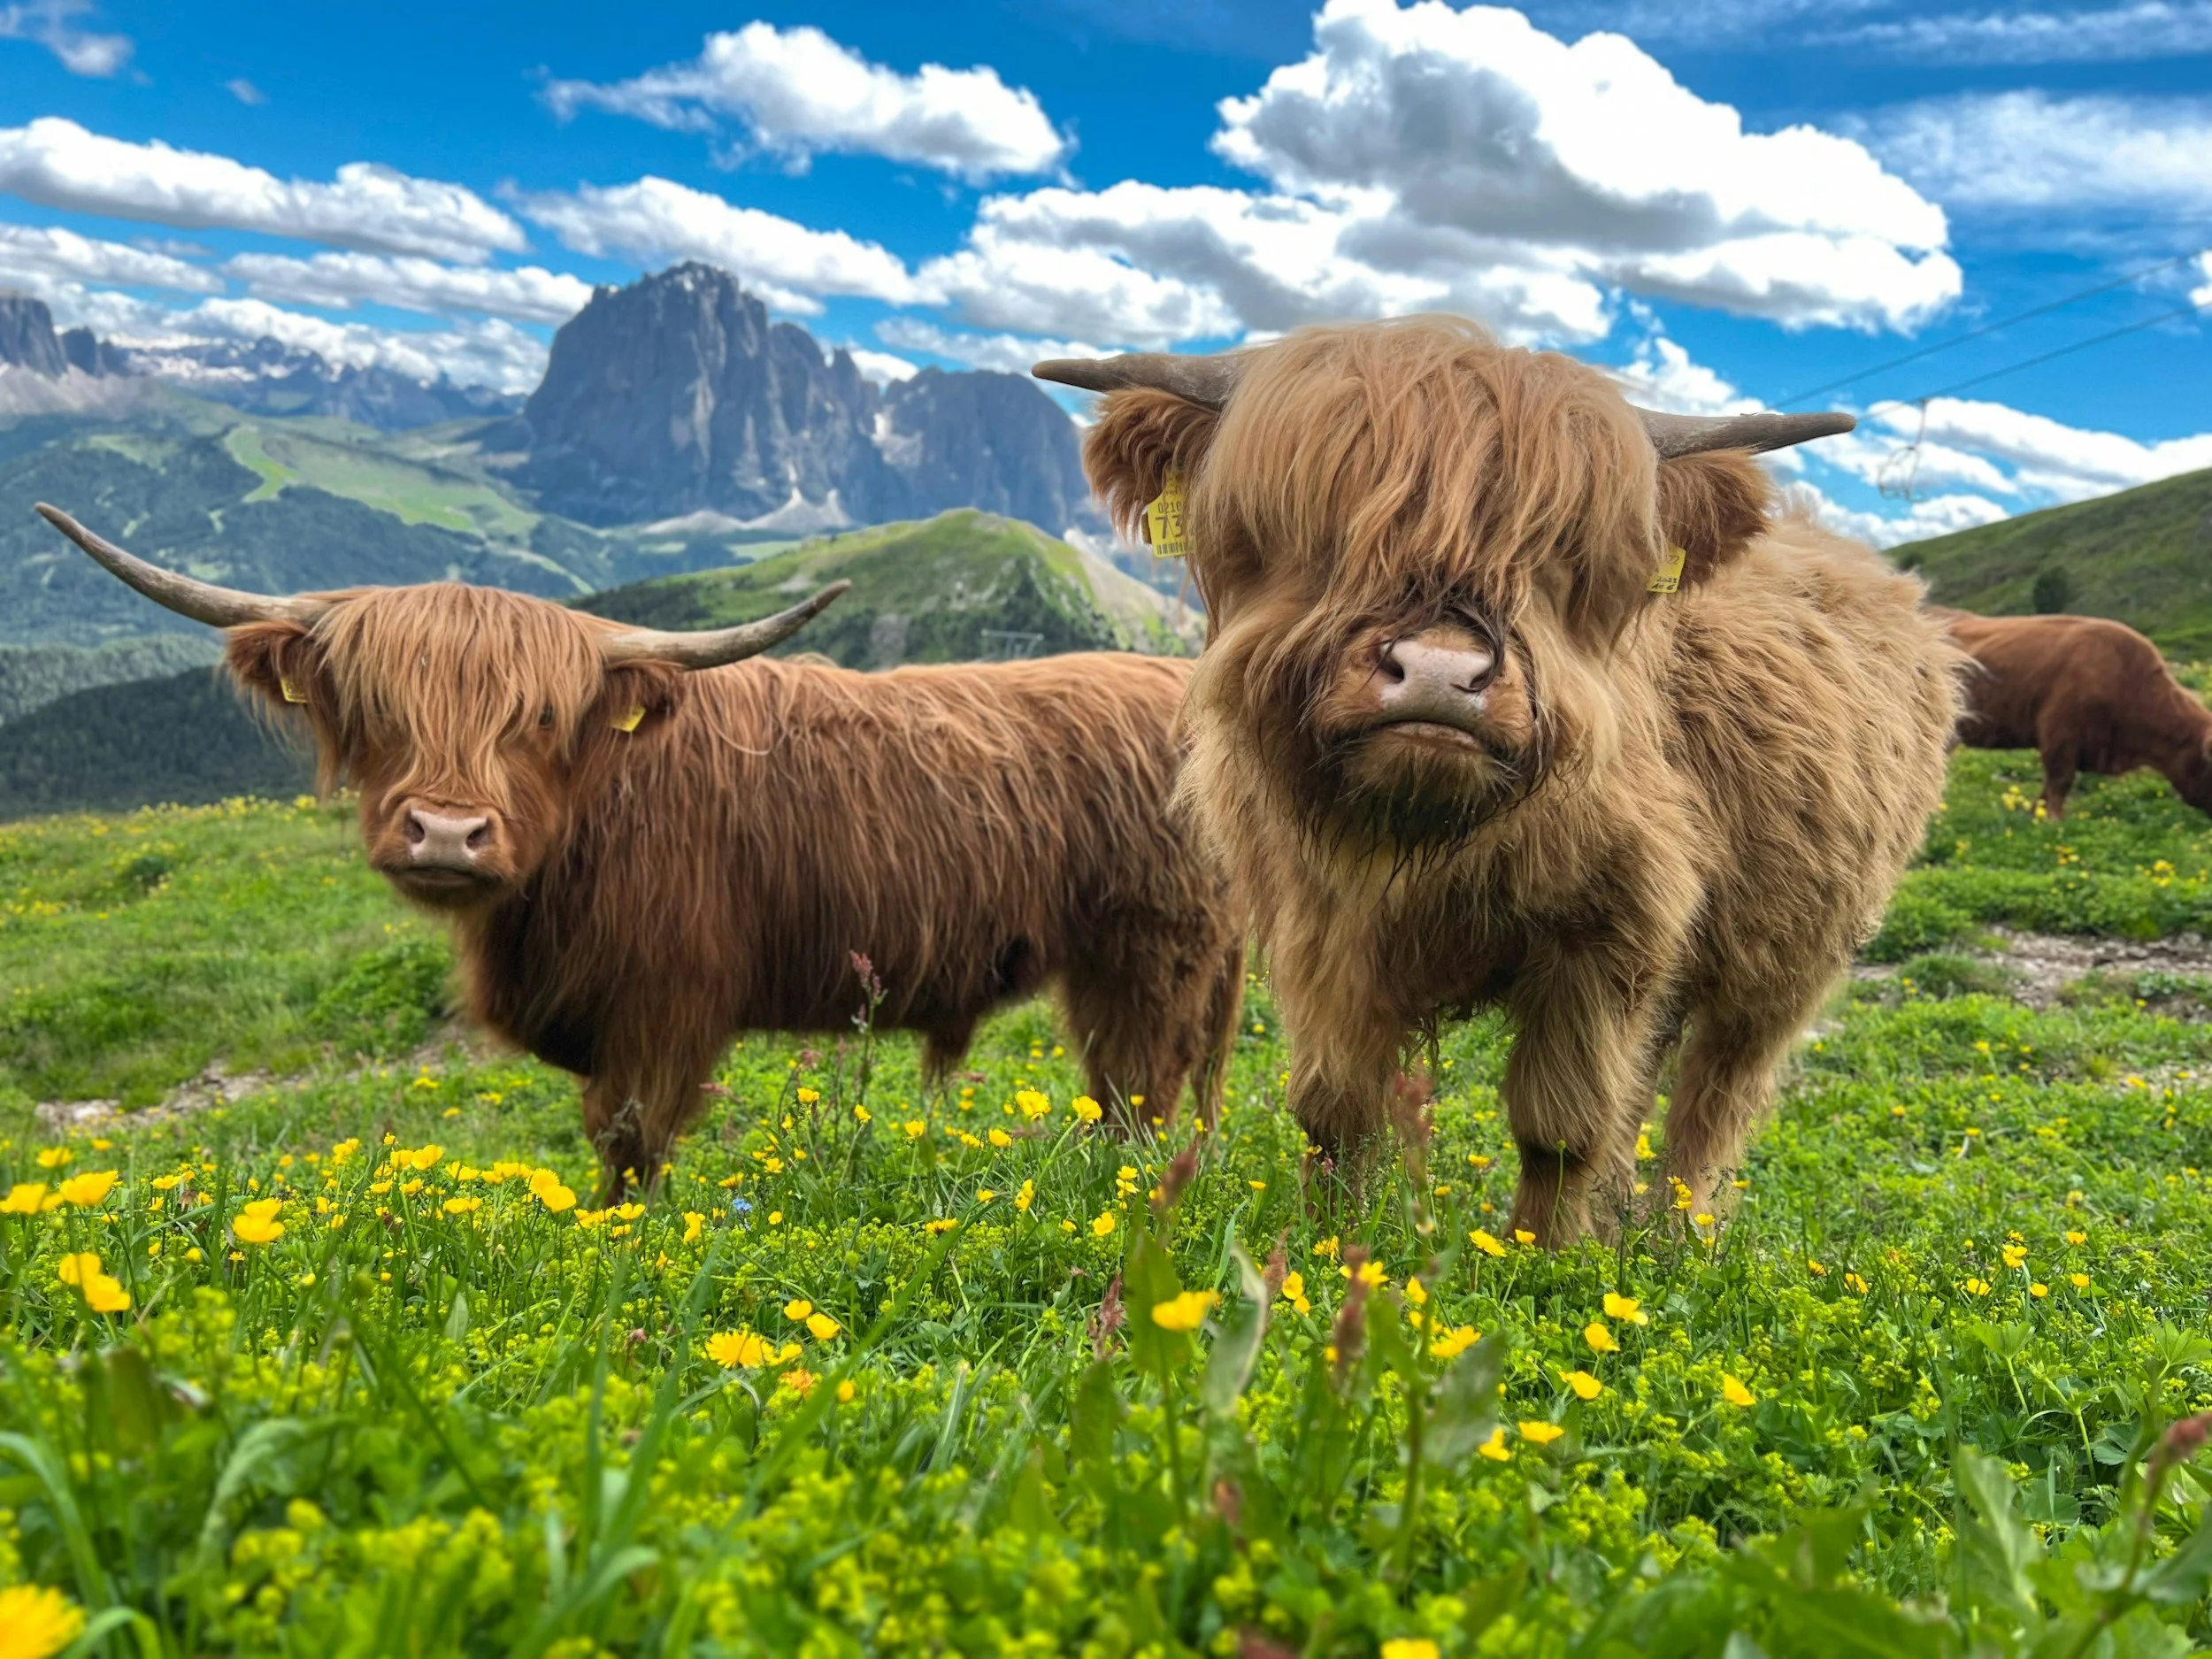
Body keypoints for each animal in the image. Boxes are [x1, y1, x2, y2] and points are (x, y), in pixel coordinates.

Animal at [35, 504, 1245, 1200]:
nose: (446, 832)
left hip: (1151, 955)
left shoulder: (665, 1005)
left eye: (535, 718)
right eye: (379, 710)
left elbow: (628, 1146)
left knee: (1138, 1092)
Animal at [1038, 319, 1961, 1243]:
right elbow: (1334, 1109)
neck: (1428, 835)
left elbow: (1560, 1124)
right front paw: (1329, 1245)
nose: (1441, 671)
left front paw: (1541, 1255)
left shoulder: (1610, 931)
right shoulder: (1321, 924)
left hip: (1789, 957)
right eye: (1323, 532)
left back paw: (1677, 1237)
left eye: (1558, 558)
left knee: (1717, 1096)